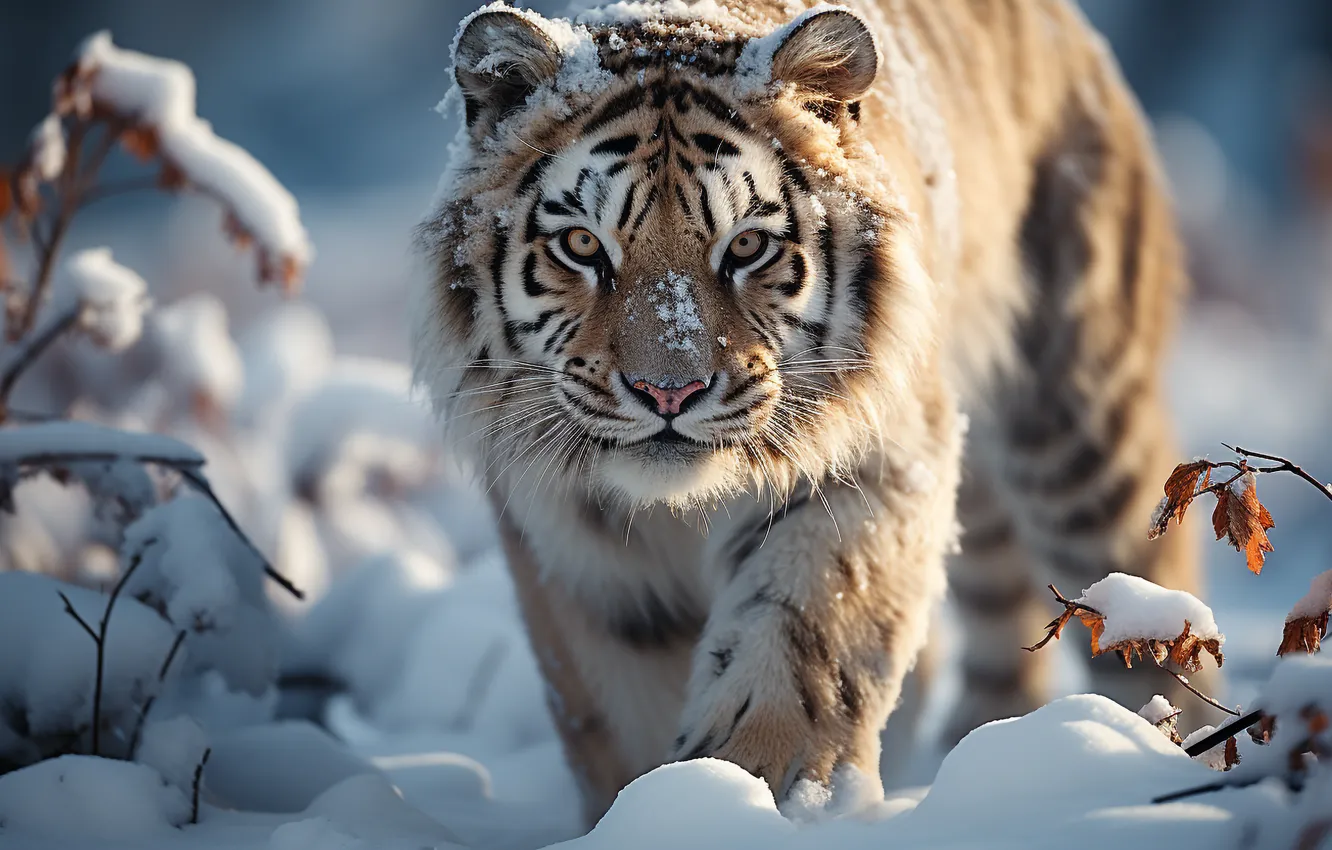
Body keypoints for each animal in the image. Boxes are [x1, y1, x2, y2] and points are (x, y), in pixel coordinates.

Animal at [414, 0, 1207, 825]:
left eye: (747, 247)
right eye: (581, 244)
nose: (669, 393)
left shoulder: (872, 462)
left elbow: (805, 632)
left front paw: (762, 792)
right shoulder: (576, 551)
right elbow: (620, 706)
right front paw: (647, 809)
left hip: (1079, 429)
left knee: (1152, 610)